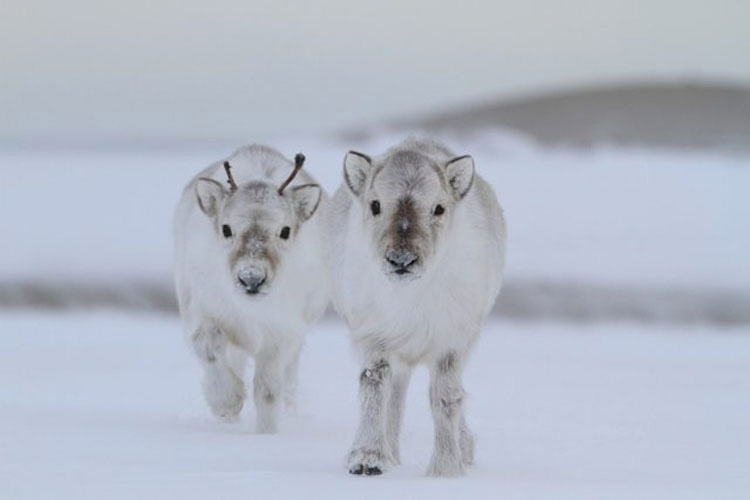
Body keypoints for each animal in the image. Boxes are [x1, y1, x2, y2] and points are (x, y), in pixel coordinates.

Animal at [176, 143, 332, 432]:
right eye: (226, 228)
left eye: (285, 230)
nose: (251, 279)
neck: (251, 309)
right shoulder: (203, 312)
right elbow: (209, 349)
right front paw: (227, 403)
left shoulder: (281, 334)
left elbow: (267, 391)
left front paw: (266, 433)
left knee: (289, 378)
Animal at [328, 139, 508, 474]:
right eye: (375, 204)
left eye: (438, 208)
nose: (402, 260)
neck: (409, 297)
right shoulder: (374, 337)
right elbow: (374, 386)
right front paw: (367, 459)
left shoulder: (451, 342)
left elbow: (446, 398)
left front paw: (446, 469)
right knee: (395, 396)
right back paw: (392, 456)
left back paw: (464, 450)